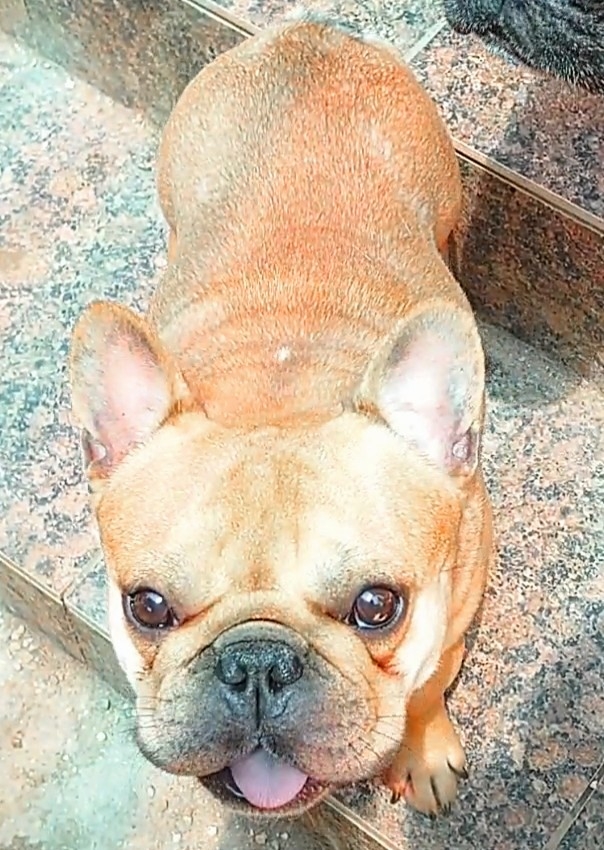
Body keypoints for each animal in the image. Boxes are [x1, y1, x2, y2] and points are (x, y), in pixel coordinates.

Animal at [69, 21, 494, 818]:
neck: (280, 388)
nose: (256, 664)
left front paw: (422, 750)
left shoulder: (451, 622)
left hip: (446, 197)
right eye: (147, 607)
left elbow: (425, 688)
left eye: (377, 606)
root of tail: (303, 32)